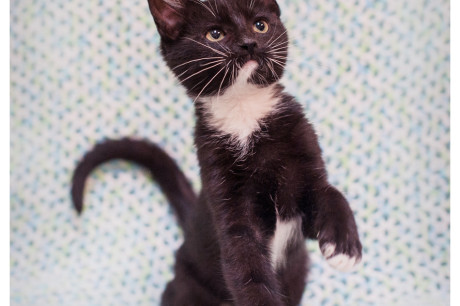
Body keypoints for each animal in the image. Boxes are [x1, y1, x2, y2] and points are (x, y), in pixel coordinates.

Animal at [71, 1, 362, 304]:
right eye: (215, 34)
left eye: (261, 25)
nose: (249, 43)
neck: (245, 113)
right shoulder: (225, 195)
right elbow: (246, 267)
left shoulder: (304, 162)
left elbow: (331, 193)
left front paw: (344, 246)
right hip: (185, 285)